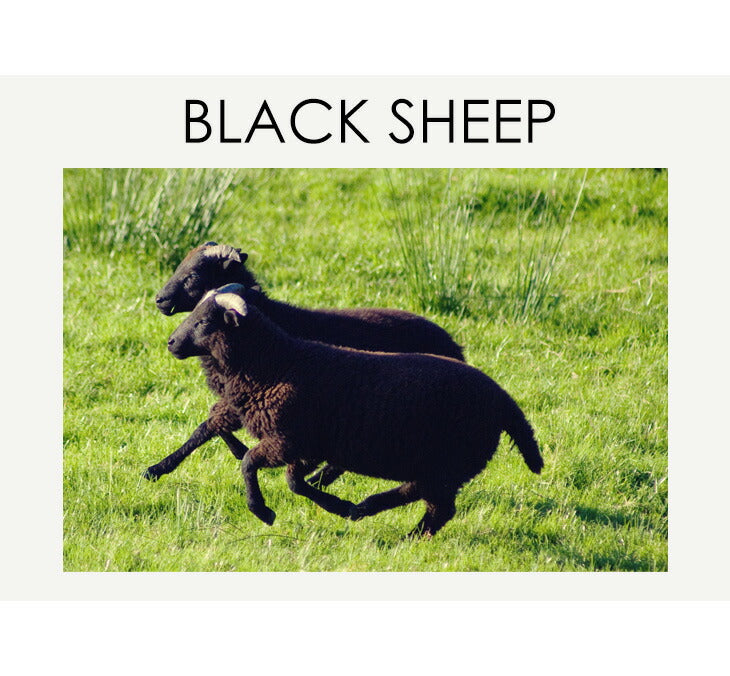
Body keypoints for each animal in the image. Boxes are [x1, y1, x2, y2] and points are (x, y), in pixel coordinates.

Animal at [145, 283, 543, 538]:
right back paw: (369, 512)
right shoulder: (305, 445)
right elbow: (292, 480)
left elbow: (250, 464)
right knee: (429, 501)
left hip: (448, 462)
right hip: (442, 466)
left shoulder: (287, 440)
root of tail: (504, 400)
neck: (276, 363)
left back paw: (394, 529)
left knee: (437, 507)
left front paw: (263, 512)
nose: (170, 342)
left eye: (204, 322)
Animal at [153, 242, 465, 486]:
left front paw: (158, 468)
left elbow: (209, 427)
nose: (159, 299)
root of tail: (455, 347)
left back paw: (318, 479)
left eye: (193, 275)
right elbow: (211, 427)